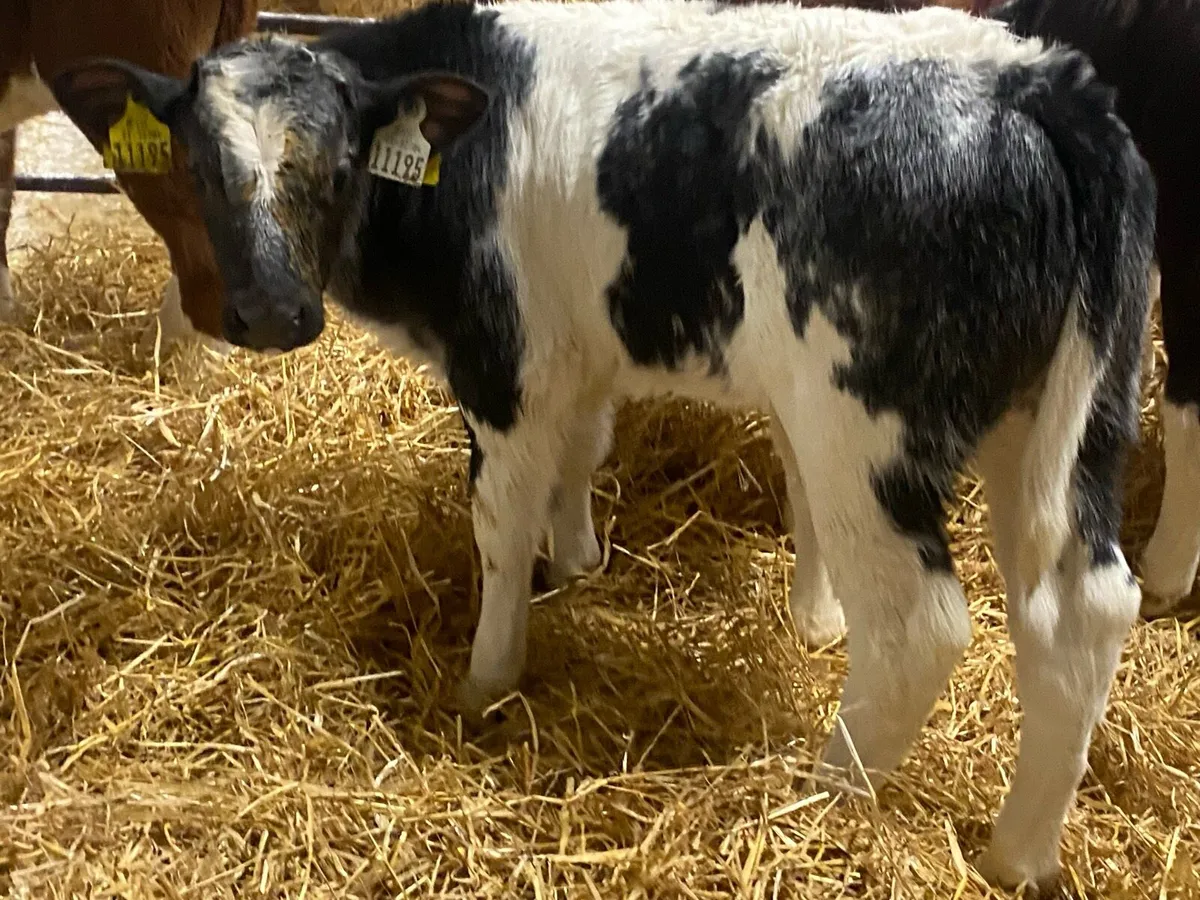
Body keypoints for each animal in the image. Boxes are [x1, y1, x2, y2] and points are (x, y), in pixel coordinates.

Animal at [47, 0, 1157, 892]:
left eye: (340, 163)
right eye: (200, 166)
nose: (274, 313)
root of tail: (1037, 83)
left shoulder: (506, 358)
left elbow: (500, 522)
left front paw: (486, 680)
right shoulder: (579, 355)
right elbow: (583, 452)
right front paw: (579, 561)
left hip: (866, 429)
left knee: (919, 626)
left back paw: (822, 799)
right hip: (1064, 421)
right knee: (1080, 611)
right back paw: (1019, 853)